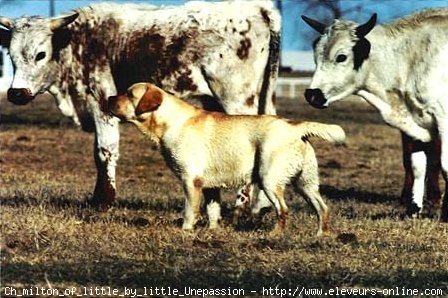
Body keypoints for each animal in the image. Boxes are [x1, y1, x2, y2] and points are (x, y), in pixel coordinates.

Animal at [0, 1, 280, 212]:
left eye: (40, 54)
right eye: (11, 56)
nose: (16, 93)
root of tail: (259, 7)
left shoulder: (101, 102)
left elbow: (105, 150)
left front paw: (104, 201)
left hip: (237, 97)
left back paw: (241, 207)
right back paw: (261, 207)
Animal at [109, 82, 346, 234]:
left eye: (129, 94)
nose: (109, 98)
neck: (170, 122)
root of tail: (296, 127)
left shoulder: (190, 180)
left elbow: (190, 211)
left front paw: (186, 231)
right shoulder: (210, 186)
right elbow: (213, 211)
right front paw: (213, 231)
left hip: (269, 180)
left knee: (283, 210)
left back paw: (274, 235)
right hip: (306, 184)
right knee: (322, 209)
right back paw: (320, 236)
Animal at [300, 9, 448, 221]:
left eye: (341, 57)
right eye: (316, 57)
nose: (312, 94)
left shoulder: (443, 119)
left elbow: (444, 165)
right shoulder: (416, 121)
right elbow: (418, 165)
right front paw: (413, 209)